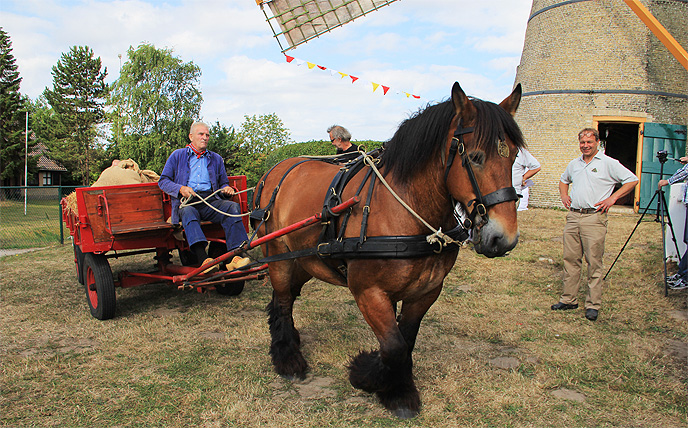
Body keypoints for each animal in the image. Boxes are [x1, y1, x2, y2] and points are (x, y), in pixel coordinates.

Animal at [250, 81, 524, 418]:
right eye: (474, 157)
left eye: (513, 156)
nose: (504, 238)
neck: (404, 209)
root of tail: (277, 169)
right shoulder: (369, 292)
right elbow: (394, 346)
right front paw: (372, 378)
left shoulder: (425, 292)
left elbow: (404, 341)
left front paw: (392, 385)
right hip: (278, 255)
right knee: (284, 301)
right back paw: (287, 357)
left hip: (305, 261)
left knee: (283, 298)